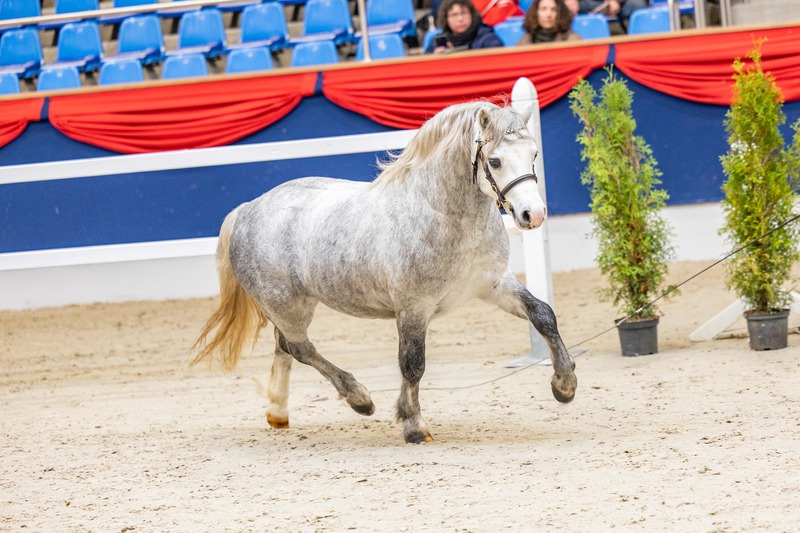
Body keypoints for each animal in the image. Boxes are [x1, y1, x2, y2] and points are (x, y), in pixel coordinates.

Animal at [191, 99, 577, 444]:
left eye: (534, 154)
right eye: (494, 161)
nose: (533, 215)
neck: (443, 216)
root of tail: (247, 210)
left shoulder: (493, 284)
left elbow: (543, 314)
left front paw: (565, 385)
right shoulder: (413, 309)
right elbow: (413, 364)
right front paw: (414, 427)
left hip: (290, 307)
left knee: (283, 347)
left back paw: (279, 412)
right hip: (288, 306)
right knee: (299, 347)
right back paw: (359, 398)